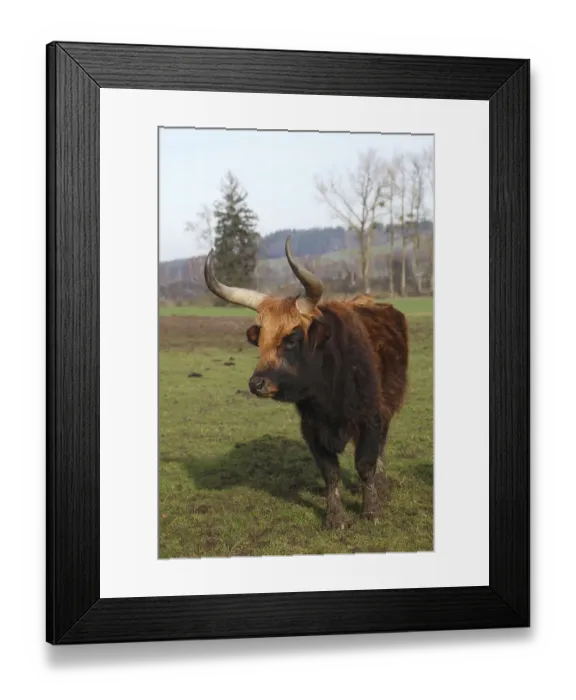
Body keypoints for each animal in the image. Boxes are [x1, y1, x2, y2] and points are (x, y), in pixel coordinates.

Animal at [203, 235, 409, 529]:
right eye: (260, 341)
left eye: (292, 339)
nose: (257, 384)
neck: (330, 392)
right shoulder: (311, 429)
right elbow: (330, 473)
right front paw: (335, 518)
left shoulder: (371, 418)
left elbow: (365, 464)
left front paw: (371, 510)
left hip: (388, 407)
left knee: (380, 449)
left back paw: (382, 486)